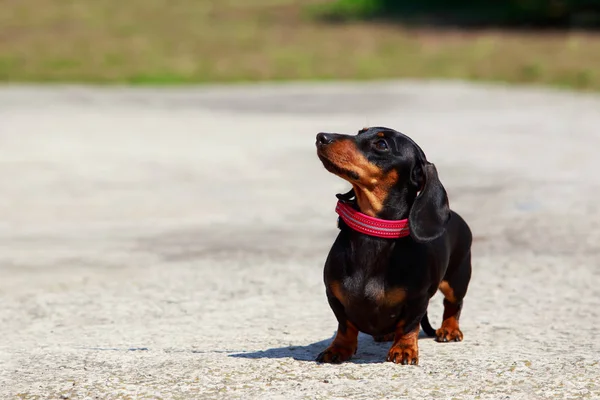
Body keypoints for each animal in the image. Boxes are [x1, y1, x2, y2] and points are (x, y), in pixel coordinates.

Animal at [314, 126, 474, 364]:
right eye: (359, 132)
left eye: (382, 145)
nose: (321, 137)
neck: (376, 231)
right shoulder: (333, 295)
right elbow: (345, 325)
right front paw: (339, 348)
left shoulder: (418, 299)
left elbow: (409, 326)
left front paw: (404, 349)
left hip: (457, 279)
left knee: (453, 305)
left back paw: (449, 329)